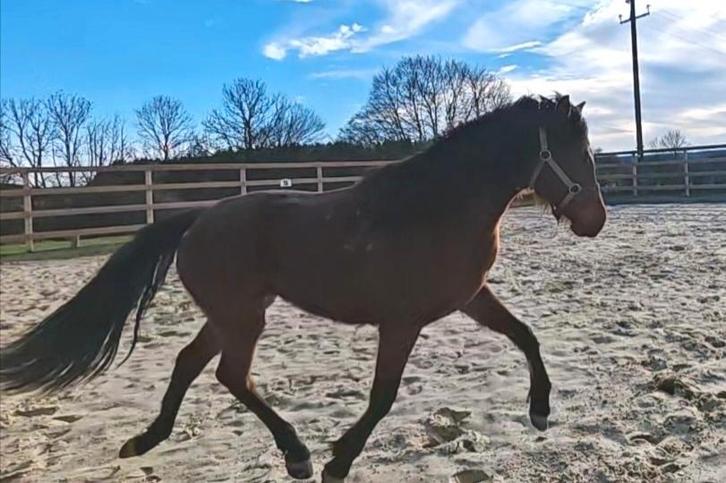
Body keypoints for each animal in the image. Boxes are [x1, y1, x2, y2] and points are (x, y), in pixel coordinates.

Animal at [0, 94, 606, 482]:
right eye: (576, 153)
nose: (595, 221)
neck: (436, 209)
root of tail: (196, 219)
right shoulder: (401, 322)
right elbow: (383, 396)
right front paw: (338, 462)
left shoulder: (471, 298)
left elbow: (525, 336)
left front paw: (540, 412)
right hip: (244, 318)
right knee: (229, 375)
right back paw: (297, 455)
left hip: (232, 316)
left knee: (189, 363)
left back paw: (145, 441)